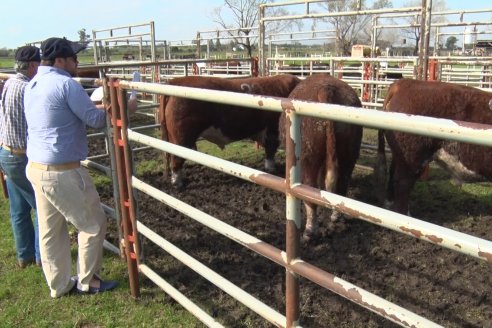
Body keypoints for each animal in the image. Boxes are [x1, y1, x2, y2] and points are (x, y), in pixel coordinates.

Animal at [161, 73, 300, 187]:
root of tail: (176, 81)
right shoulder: (272, 130)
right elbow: (270, 151)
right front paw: (271, 169)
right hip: (181, 138)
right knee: (176, 159)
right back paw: (178, 183)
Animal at [278, 73, 364, 241]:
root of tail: (326, 89)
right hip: (349, 154)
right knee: (341, 186)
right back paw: (336, 217)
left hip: (308, 158)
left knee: (310, 193)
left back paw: (310, 230)